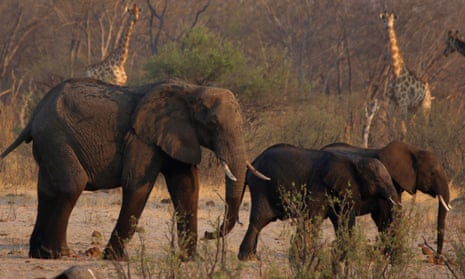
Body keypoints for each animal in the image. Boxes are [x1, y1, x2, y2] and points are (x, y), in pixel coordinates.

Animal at [0, 78, 246, 260]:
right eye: (212, 124)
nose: (208, 233)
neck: (191, 89)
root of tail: (34, 116)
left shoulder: (176, 136)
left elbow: (186, 188)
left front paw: (191, 260)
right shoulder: (142, 139)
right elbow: (138, 185)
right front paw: (115, 259)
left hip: (49, 143)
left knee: (48, 190)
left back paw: (39, 254)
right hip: (56, 138)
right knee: (72, 185)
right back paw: (59, 254)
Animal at [236, 144, 398, 262]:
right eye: (376, 181)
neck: (355, 160)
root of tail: (253, 161)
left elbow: (343, 219)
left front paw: (342, 256)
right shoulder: (319, 186)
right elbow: (313, 219)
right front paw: (303, 257)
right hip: (261, 185)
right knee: (259, 219)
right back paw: (248, 258)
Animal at [378, 11, 430, 139]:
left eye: (392, 20)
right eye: (384, 20)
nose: (388, 27)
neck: (396, 71)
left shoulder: (403, 101)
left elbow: (402, 130)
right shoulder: (391, 101)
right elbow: (392, 128)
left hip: (425, 105)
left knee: (424, 124)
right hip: (414, 108)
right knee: (412, 124)